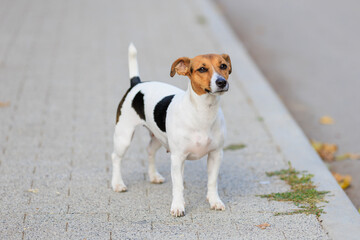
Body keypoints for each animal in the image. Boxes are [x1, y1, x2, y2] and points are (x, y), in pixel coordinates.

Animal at [111, 43, 232, 218]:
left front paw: (214, 201)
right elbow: (178, 185)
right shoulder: (177, 158)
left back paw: (153, 176)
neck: (203, 112)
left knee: (150, 151)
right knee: (116, 158)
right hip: (124, 137)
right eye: (202, 69)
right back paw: (117, 183)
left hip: (157, 138)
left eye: (223, 66)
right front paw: (178, 206)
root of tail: (137, 83)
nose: (221, 82)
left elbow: (212, 181)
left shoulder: (216, 154)